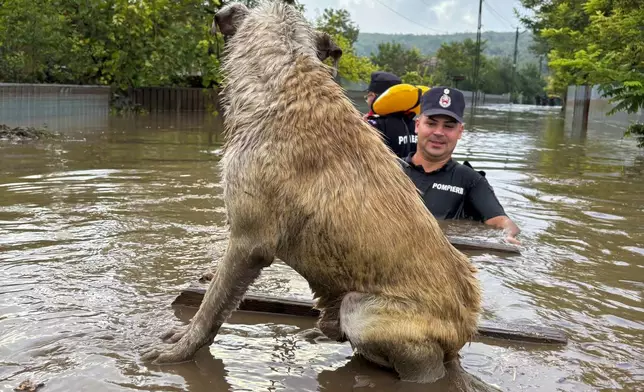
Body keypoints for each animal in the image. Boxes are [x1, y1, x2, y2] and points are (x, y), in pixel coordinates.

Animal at [143, 0, 480, 382]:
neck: (285, 79)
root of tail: (464, 330)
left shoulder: (248, 242)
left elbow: (211, 306)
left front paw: (180, 350)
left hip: (362, 310)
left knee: (424, 364)